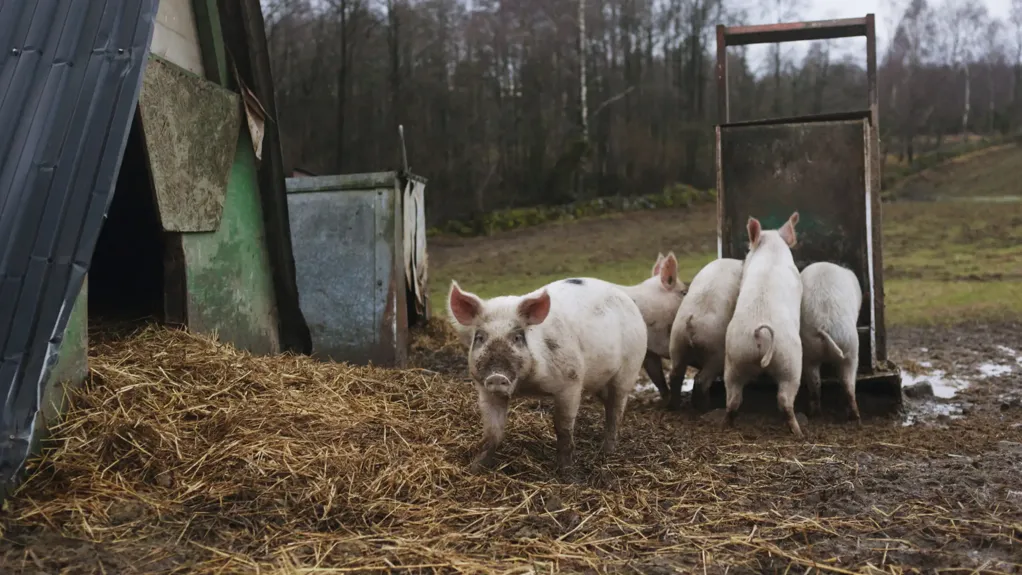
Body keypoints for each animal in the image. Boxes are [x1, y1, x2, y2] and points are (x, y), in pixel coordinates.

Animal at [447, 277, 645, 471]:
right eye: (480, 337)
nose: (497, 376)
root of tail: (626, 298)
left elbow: (563, 429)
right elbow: (491, 432)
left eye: (517, 337)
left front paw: (566, 472)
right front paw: (475, 468)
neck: (527, 385)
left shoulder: (571, 382)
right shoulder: (486, 391)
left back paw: (607, 453)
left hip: (629, 370)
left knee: (616, 411)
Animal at [662, 258, 744, 412]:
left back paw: (673, 407)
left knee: (675, 376)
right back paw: (706, 408)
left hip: (676, 344)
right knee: (701, 380)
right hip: (715, 353)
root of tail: (691, 322)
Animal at [719, 213, 805, 439]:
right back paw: (798, 433)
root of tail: (761, 335)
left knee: (733, 399)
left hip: (734, 359)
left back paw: (725, 426)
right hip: (790, 362)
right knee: (785, 399)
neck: (772, 251)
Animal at [797, 261, 862, 422]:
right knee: (848, 382)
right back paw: (853, 415)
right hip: (851, 348)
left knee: (816, 383)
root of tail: (824, 325)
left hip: (811, 349)